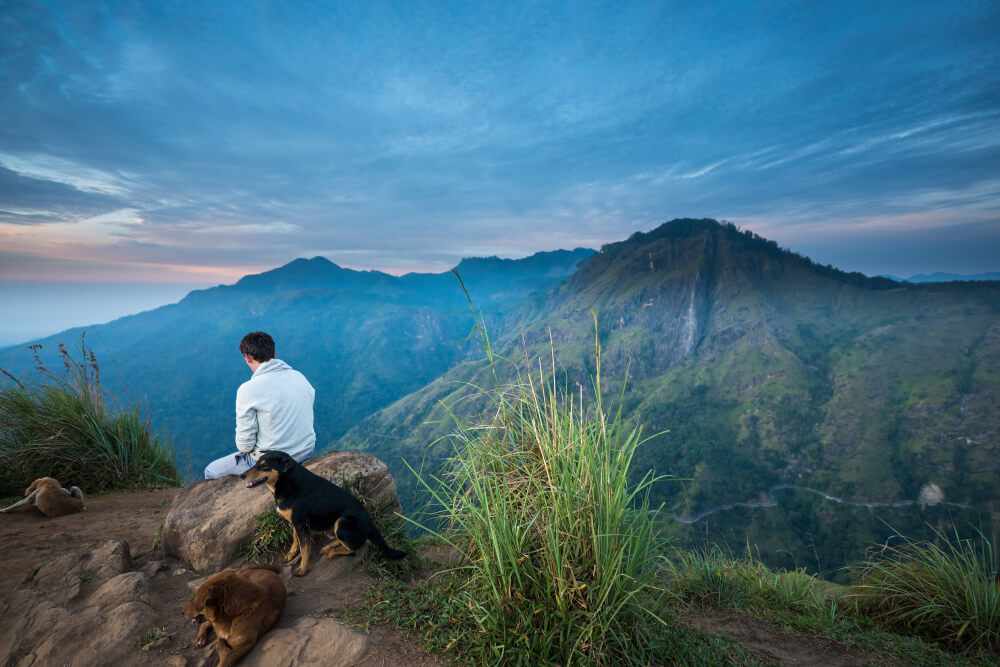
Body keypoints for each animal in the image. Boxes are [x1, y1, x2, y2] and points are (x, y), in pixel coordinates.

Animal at [240, 452, 404, 576]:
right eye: (255, 463)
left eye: (263, 465)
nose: (241, 475)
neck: (287, 484)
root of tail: (370, 523)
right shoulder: (295, 523)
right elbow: (295, 540)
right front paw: (291, 554)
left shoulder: (300, 523)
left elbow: (305, 548)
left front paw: (302, 569)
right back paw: (330, 545)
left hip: (342, 522)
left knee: (354, 549)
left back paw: (332, 552)